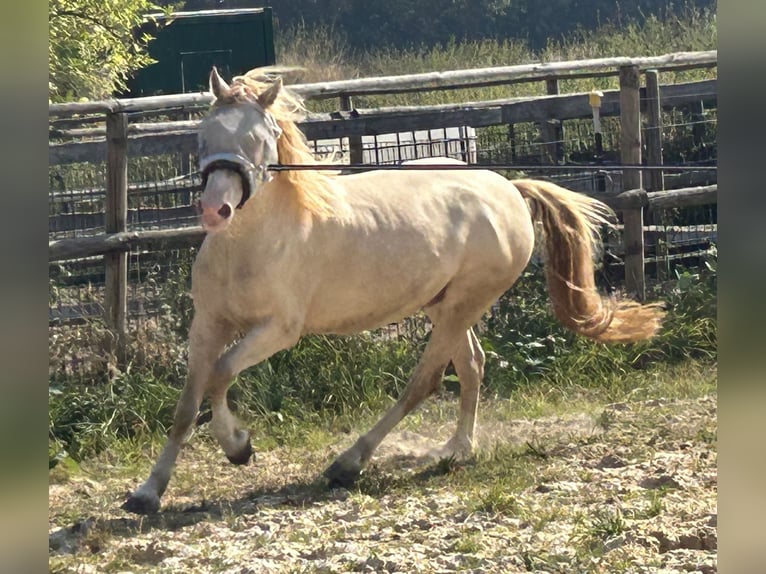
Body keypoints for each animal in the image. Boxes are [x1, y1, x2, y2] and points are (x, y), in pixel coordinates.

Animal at [123, 67, 664, 516]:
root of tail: (508, 188)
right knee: (472, 365)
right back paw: (456, 451)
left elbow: (220, 375)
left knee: (424, 381)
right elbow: (187, 404)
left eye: (260, 139)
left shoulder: (277, 330)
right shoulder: (207, 325)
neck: (253, 244)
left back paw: (349, 464)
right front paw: (148, 493)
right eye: (203, 135)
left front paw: (238, 446)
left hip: (465, 302)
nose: (214, 210)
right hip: (444, 306)